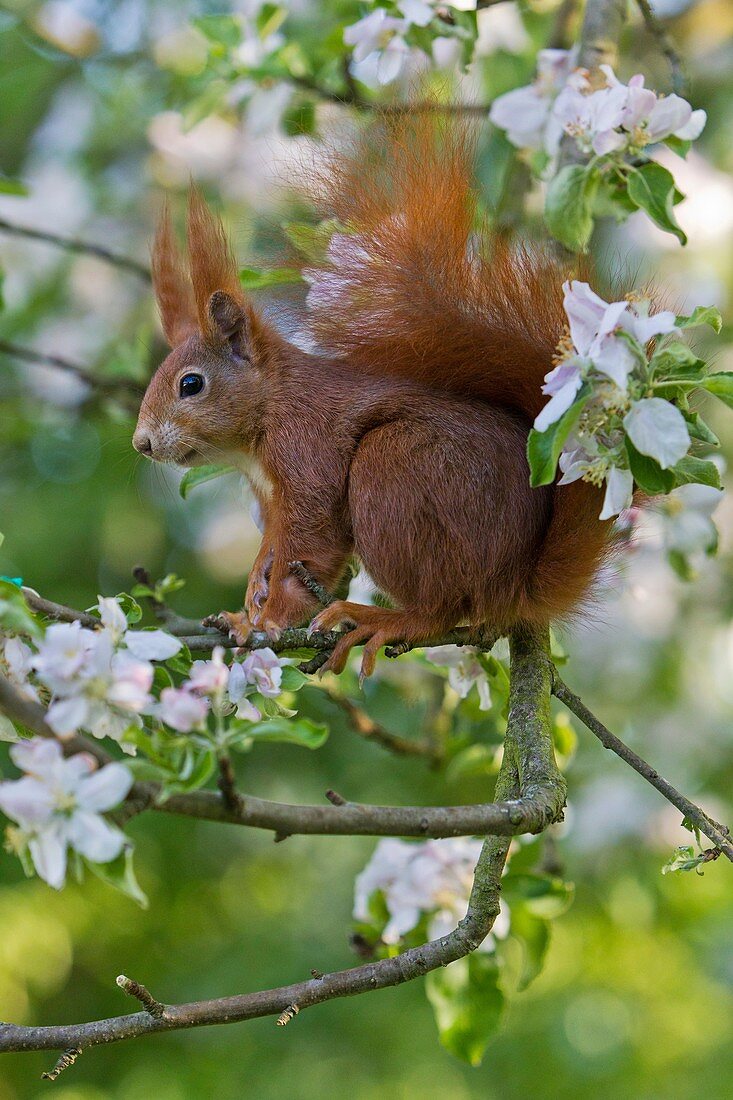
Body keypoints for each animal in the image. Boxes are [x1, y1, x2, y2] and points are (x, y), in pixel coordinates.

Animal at [132, 116, 611, 673]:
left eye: (191, 384)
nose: (142, 443)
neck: (266, 416)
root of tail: (516, 585)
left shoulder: (307, 448)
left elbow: (309, 546)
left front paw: (266, 623)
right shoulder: (271, 500)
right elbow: (273, 549)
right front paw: (248, 600)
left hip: (397, 473)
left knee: (442, 608)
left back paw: (383, 619)